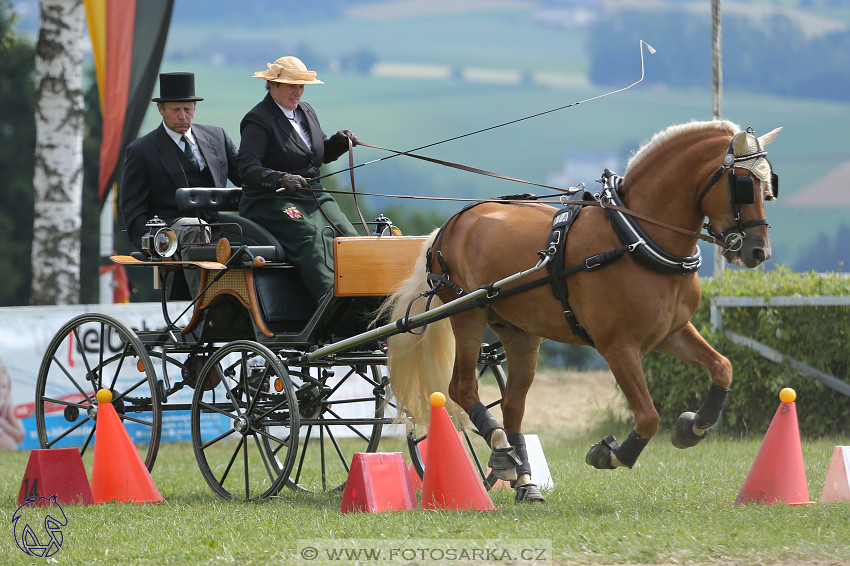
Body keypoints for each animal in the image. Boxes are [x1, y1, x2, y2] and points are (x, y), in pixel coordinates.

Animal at [384, 122, 780, 504]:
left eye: (769, 185)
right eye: (744, 184)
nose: (759, 252)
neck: (636, 238)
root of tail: (449, 226)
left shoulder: (672, 332)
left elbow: (722, 367)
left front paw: (691, 427)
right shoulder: (617, 346)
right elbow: (648, 416)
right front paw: (611, 454)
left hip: (520, 332)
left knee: (512, 404)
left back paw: (525, 480)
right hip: (468, 314)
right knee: (462, 388)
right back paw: (500, 449)